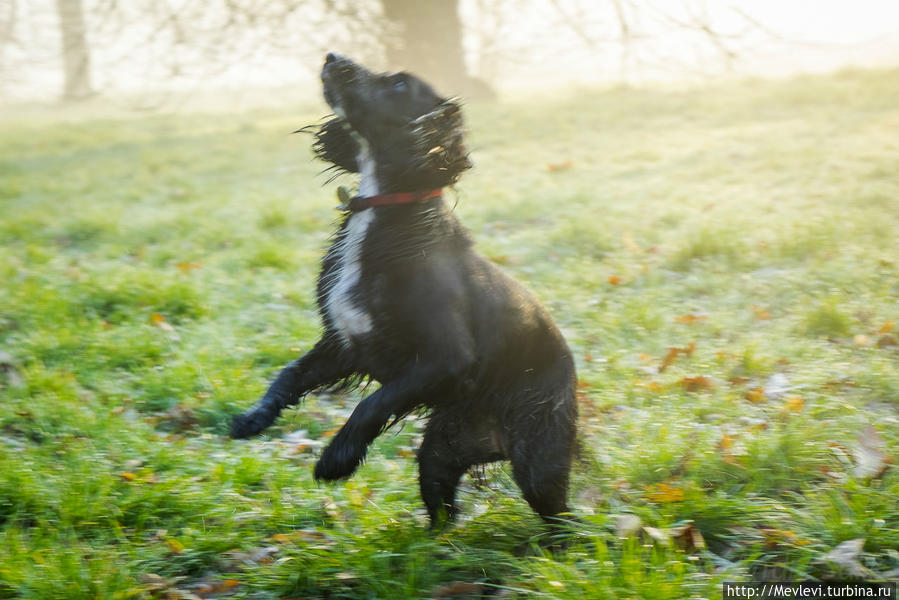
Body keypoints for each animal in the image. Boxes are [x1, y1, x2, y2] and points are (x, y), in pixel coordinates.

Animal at [232, 54, 580, 528]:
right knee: (443, 510)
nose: (332, 58)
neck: (385, 214)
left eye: (398, 84)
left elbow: (372, 403)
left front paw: (336, 458)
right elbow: (289, 374)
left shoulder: (444, 357)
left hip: (537, 459)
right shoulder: (344, 343)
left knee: (565, 522)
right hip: (440, 453)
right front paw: (254, 418)